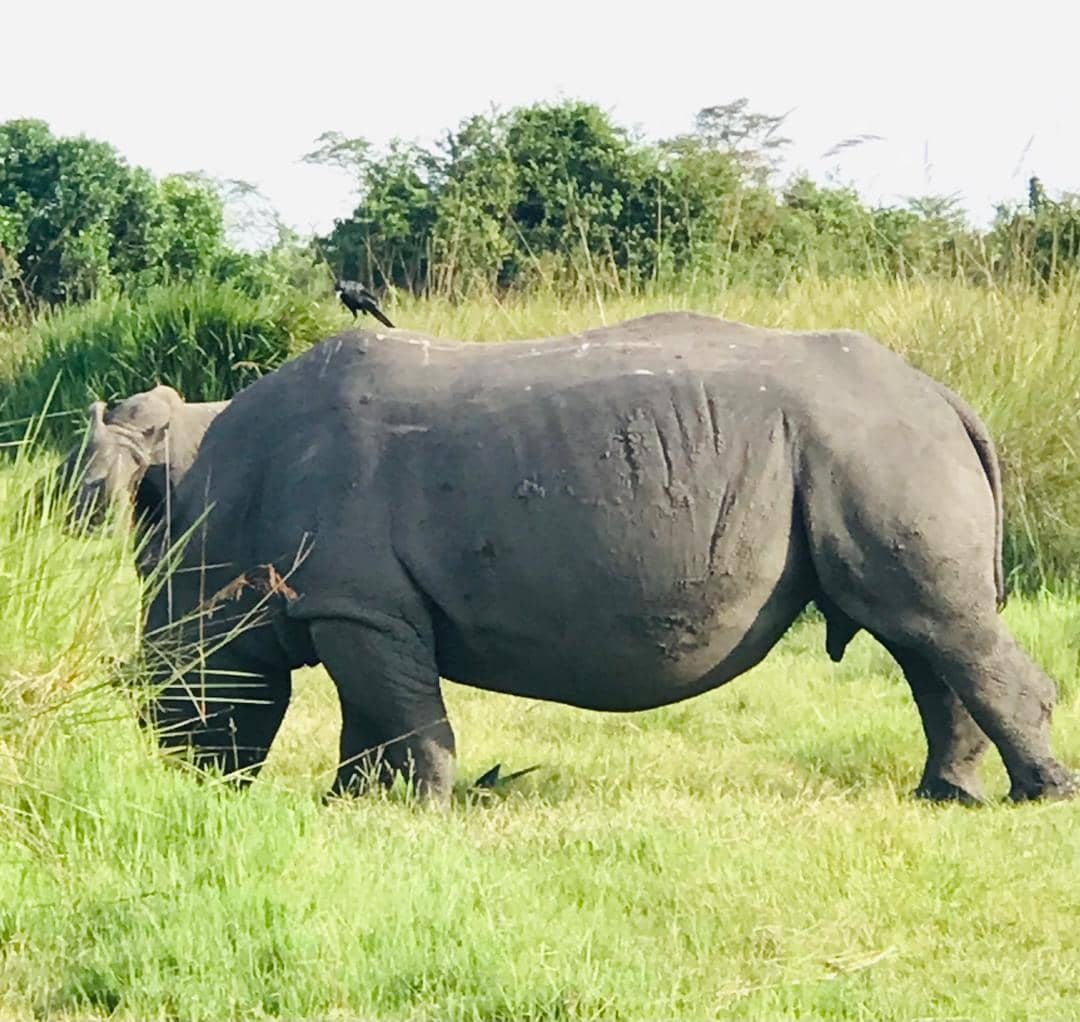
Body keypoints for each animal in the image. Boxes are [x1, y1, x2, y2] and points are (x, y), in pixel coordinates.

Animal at [140, 312, 1076, 805]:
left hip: (878, 443)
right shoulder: (353, 604)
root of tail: (943, 394)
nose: (188, 781)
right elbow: (367, 716)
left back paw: (1038, 799)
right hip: (873, 444)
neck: (214, 545)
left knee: (937, 627)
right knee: (922, 636)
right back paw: (944, 798)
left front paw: (420, 807)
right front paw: (352, 804)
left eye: (163, 691)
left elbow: (400, 711)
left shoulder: (353, 601)